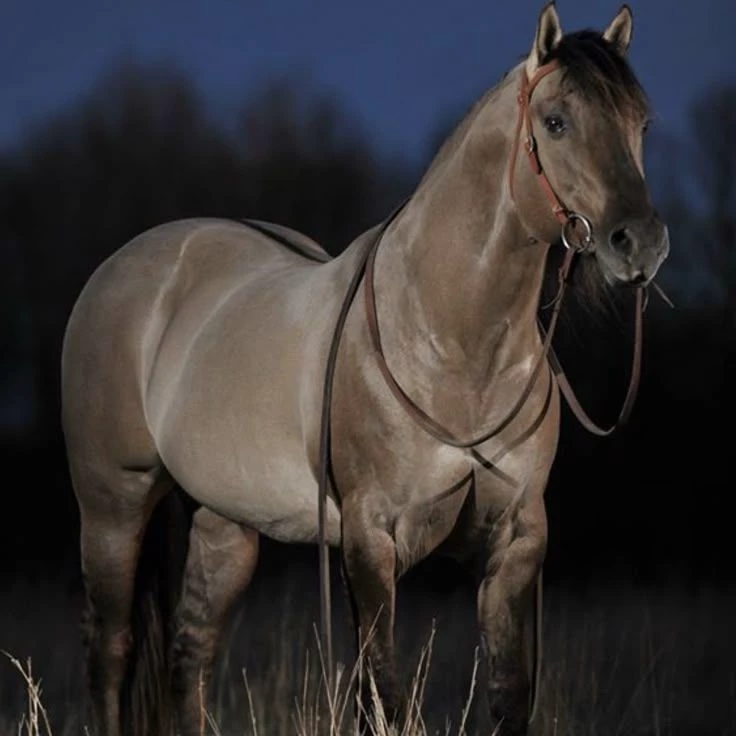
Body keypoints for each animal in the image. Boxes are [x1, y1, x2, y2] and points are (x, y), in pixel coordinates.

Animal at [61, 3, 669, 735]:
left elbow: (506, 698)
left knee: (189, 655)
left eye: (642, 122)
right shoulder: (371, 539)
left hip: (223, 524)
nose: (641, 244)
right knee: (110, 653)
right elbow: (385, 694)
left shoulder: (517, 541)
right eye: (555, 121)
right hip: (113, 508)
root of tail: (120, 268)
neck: (453, 347)